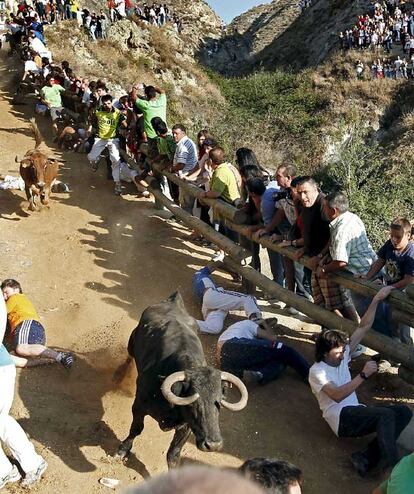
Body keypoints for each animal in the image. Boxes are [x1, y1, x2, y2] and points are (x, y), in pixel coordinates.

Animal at [115, 292, 247, 468]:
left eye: (219, 402)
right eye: (193, 403)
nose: (213, 445)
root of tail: (173, 300)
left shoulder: (186, 427)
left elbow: (174, 453)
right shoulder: (139, 406)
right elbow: (136, 428)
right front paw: (123, 450)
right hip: (132, 341)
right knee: (129, 357)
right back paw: (118, 375)